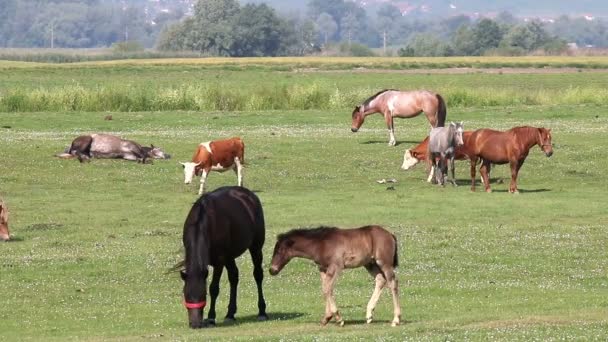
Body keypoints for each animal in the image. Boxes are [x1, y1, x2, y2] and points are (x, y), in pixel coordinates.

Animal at [178, 187, 268, 328]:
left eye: (203, 294)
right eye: (186, 294)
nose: (195, 324)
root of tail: (249, 195)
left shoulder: (219, 261)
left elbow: (214, 288)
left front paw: (211, 318)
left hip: (255, 247)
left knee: (258, 275)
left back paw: (262, 312)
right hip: (230, 256)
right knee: (234, 277)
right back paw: (230, 314)